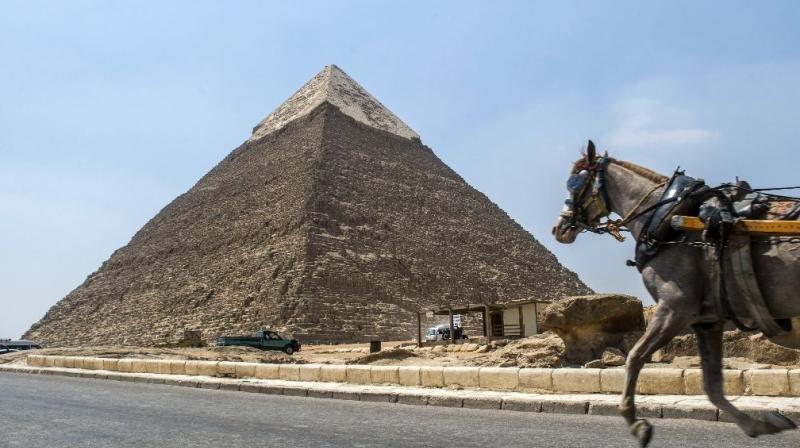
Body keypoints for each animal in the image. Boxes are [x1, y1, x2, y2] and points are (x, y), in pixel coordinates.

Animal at [552, 142, 796, 446]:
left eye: (574, 183)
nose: (559, 228)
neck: (670, 218)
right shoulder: (707, 320)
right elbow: (711, 385)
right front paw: (761, 423)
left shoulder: (675, 307)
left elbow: (634, 357)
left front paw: (636, 423)